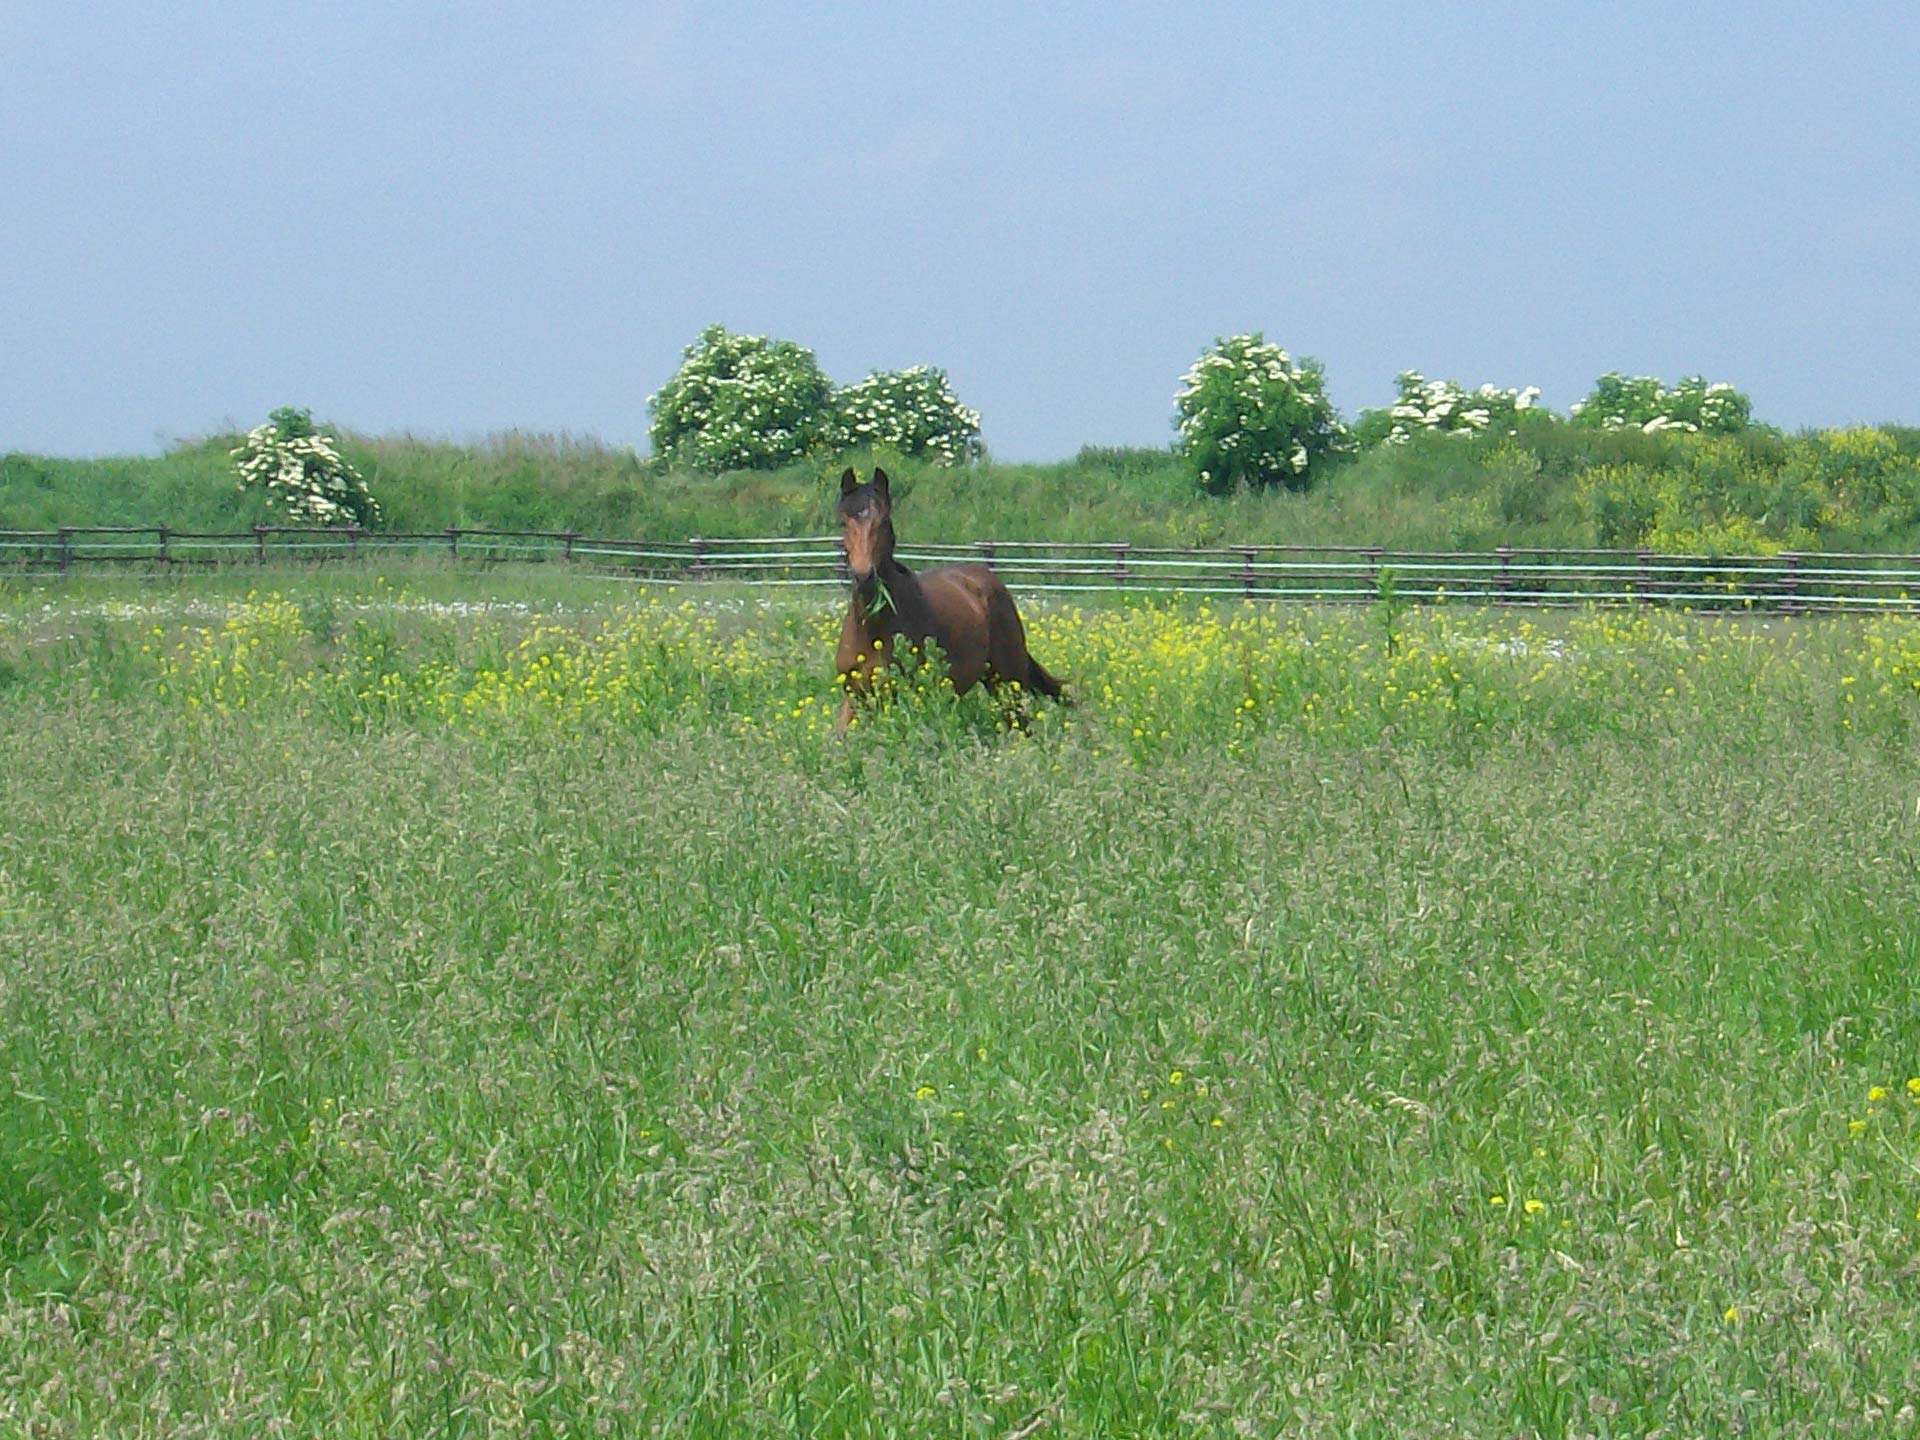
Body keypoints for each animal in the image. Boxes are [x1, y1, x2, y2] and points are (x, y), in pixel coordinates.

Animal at [834, 466, 1065, 733]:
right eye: (843, 522)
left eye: (883, 522)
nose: (864, 576)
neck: (872, 629)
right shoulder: (854, 698)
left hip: (1009, 682)